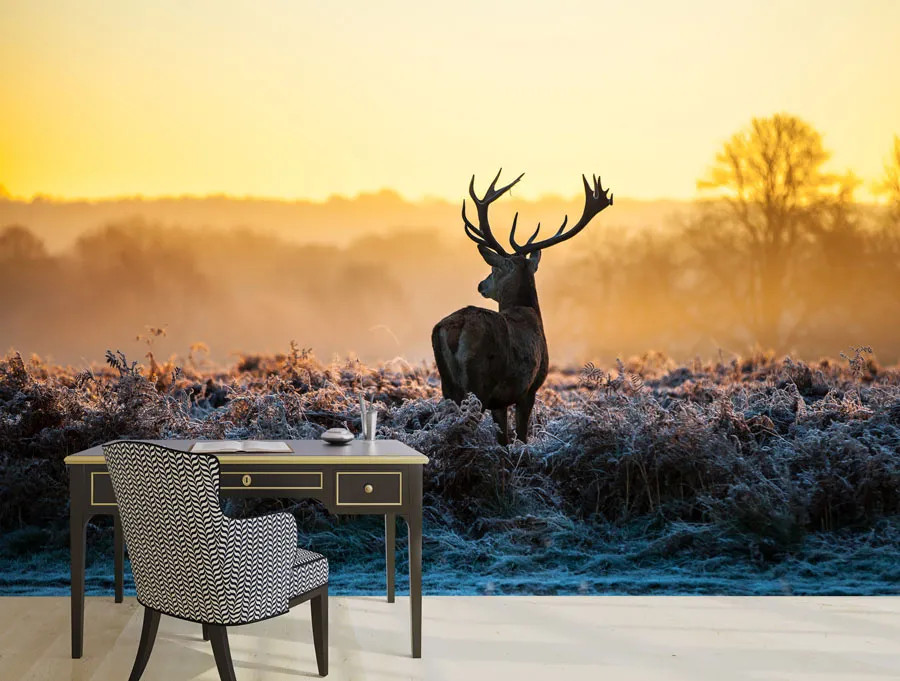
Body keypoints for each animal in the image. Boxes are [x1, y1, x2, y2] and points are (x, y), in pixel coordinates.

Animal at [432, 169, 616, 444]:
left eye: (493, 269)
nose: (481, 285)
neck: (530, 312)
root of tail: (456, 327)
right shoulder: (529, 388)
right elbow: (521, 436)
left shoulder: (501, 401)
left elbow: (504, 439)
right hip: (479, 382)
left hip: (448, 384)